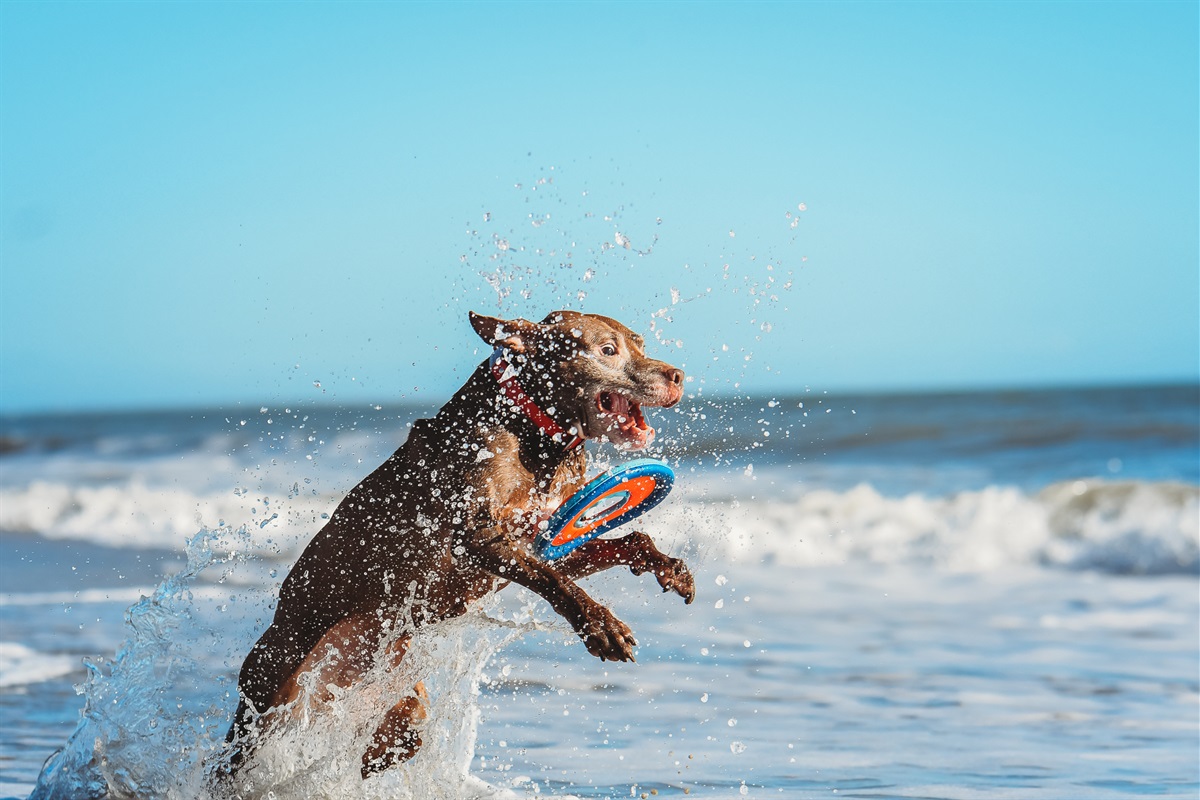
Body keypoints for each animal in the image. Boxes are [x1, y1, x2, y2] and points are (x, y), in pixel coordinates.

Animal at [226, 309, 696, 777]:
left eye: (640, 343)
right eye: (607, 350)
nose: (678, 376)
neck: (531, 426)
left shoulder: (548, 538)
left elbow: (628, 541)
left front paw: (671, 569)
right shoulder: (479, 537)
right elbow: (555, 581)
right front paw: (600, 626)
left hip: (395, 688)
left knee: (405, 729)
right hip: (267, 694)